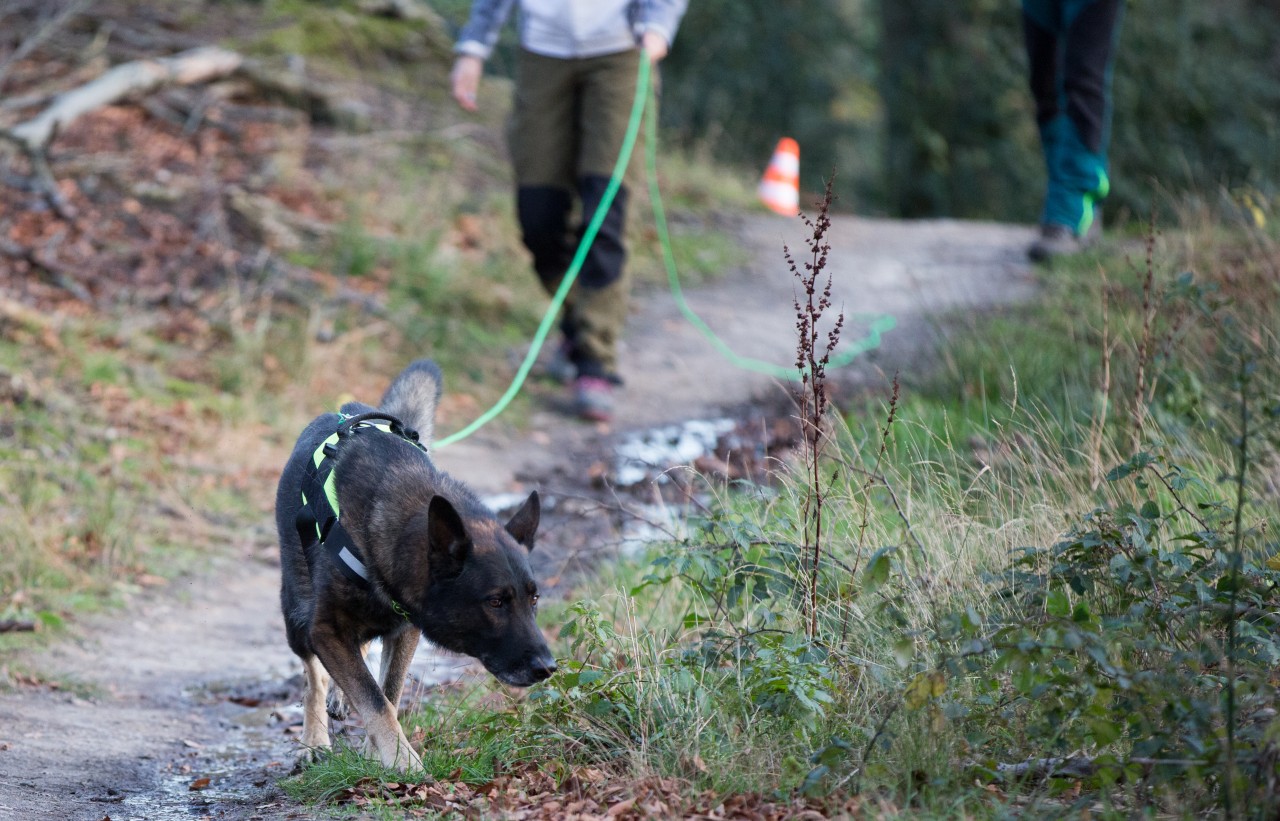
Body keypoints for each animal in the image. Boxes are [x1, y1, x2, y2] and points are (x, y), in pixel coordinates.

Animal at [275, 356, 555, 768]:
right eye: (495, 602)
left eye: (534, 599)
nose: (548, 667)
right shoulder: (324, 629)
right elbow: (373, 699)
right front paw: (403, 764)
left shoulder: (405, 630)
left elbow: (387, 693)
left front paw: (377, 754)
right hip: (297, 614)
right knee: (312, 677)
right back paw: (313, 741)